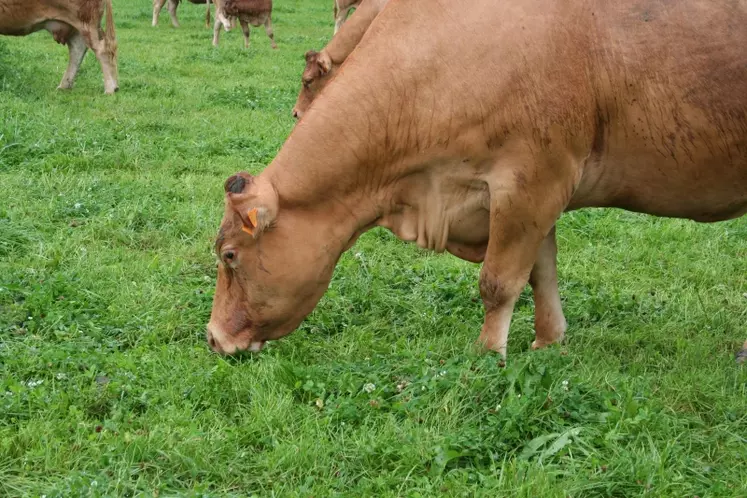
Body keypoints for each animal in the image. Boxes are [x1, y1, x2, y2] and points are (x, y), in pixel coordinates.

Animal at [207, 0, 747, 360]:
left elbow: (499, 281)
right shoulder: (529, 197)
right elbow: (541, 272)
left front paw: (488, 355)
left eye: (229, 255)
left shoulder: (532, 181)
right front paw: (548, 341)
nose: (213, 337)